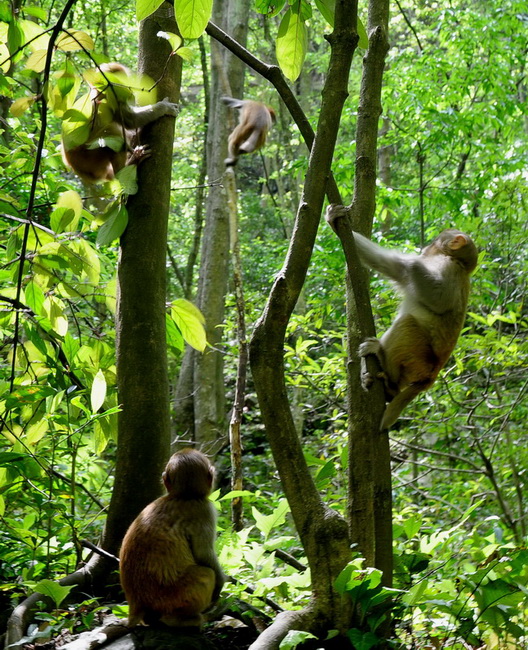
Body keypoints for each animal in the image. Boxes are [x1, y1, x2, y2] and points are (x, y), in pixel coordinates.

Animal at [118, 448, 226, 624]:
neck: (184, 496)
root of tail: (136, 605)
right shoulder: (205, 510)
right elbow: (203, 554)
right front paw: (220, 585)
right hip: (174, 596)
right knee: (207, 574)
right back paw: (179, 620)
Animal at [324, 206, 476, 430]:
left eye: (435, 241)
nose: (425, 247)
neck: (460, 264)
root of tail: (431, 377)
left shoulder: (447, 267)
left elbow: (441, 299)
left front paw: (413, 261)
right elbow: (387, 263)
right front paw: (334, 219)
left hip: (417, 356)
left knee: (407, 323)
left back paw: (385, 370)